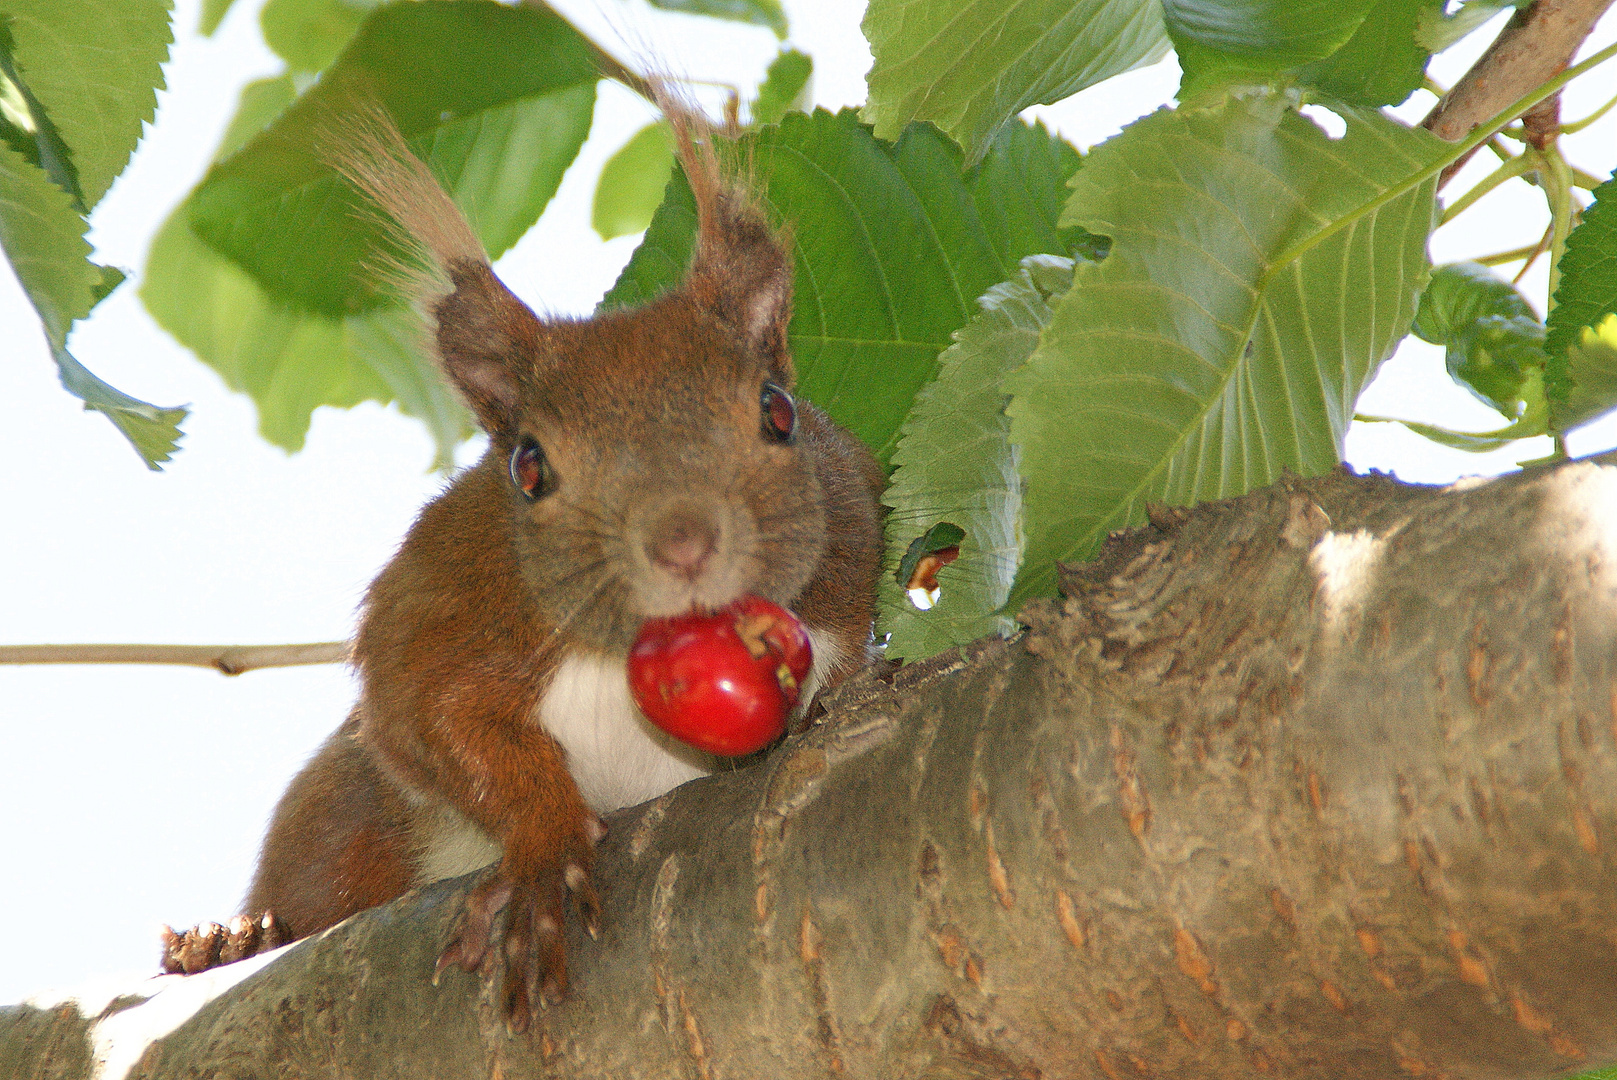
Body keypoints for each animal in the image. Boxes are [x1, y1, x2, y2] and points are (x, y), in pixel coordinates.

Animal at [164, 94, 886, 1028]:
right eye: (528, 465)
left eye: (778, 411)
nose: (683, 542)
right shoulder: (433, 607)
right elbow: (436, 725)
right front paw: (544, 844)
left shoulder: (852, 553)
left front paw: (833, 704)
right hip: (343, 817)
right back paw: (227, 940)